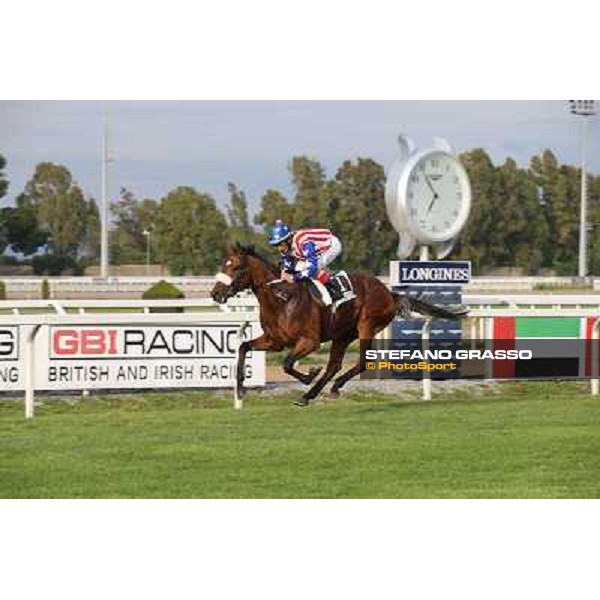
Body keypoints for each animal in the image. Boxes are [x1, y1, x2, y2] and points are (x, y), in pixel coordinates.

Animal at [211, 245, 468, 408]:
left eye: (235, 267)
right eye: (223, 264)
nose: (215, 293)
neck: (282, 298)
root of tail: (388, 292)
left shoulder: (309, 341)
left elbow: (287, 363)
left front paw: (309, 374)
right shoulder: (275, 341)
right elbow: (244, 347)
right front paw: (240, 388)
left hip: (367, 325)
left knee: (361, 362)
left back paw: (333, 387)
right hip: (342, 334)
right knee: (334, 365)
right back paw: (308, 396)